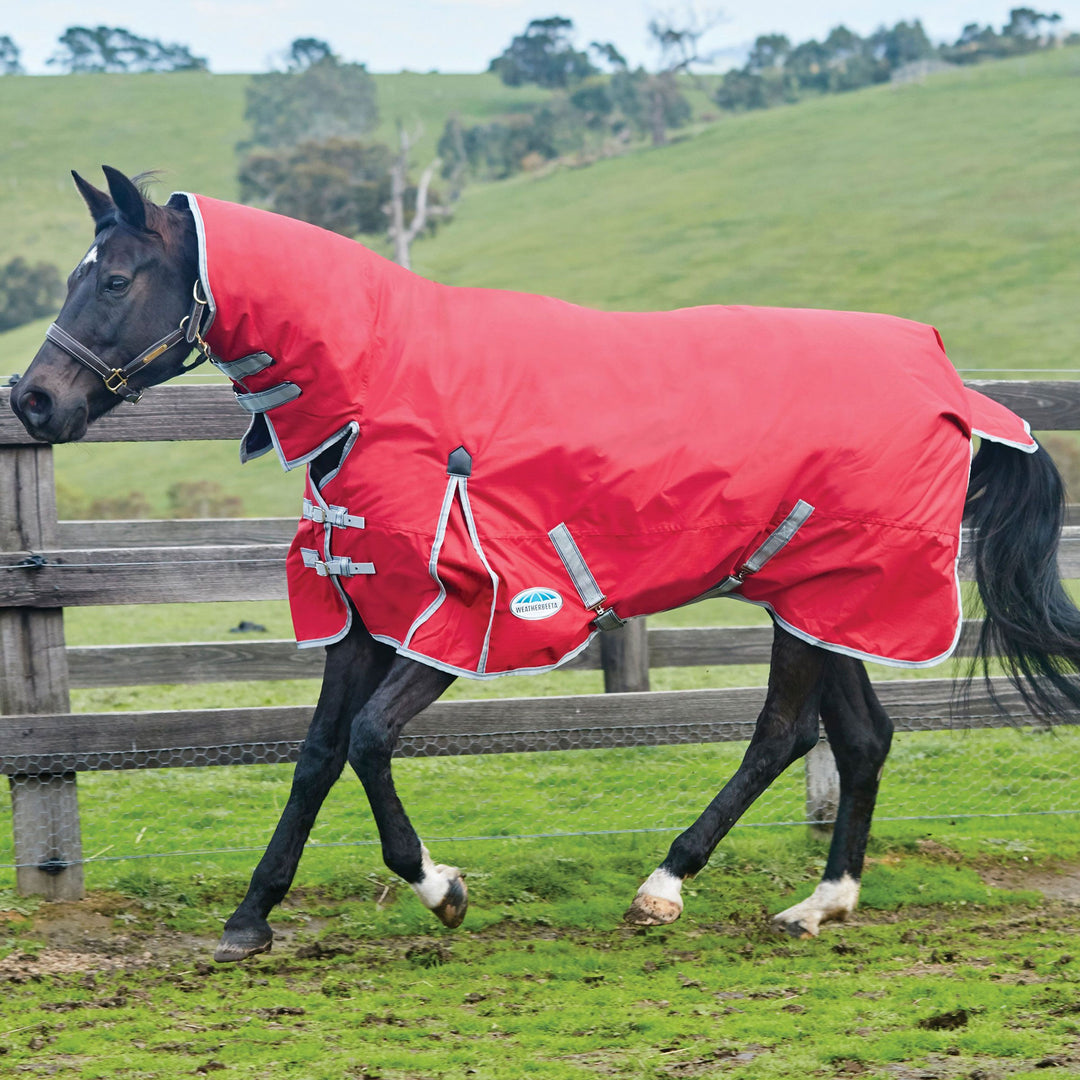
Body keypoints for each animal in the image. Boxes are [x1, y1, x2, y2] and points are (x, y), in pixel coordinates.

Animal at [10, 166, 1080, 963]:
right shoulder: (364, 611)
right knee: (860, 738)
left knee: (781, 734)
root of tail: (953, 386)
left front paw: (441, 888)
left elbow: (367, 740)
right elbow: (316, 754)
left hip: (822, 600)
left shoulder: (471, 618)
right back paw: (821, 905)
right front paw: (248, 919)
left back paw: (663, 888)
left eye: (113, 280)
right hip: (822, 600)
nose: (33, 401)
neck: (384, 385)